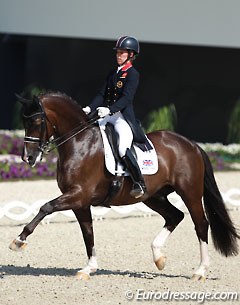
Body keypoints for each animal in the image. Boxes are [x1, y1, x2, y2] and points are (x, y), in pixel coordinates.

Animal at [9, 92, 240, 280]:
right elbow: (87, 232)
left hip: (190, 193)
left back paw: (200, 271)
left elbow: (45, 207)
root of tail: (191, 144)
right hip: (154, 197)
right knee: (175, 216)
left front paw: (19, 241)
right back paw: (159, 257)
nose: (28, 158)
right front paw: (89, 268)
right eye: (23, 121)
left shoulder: (78, 195)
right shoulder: (80, 202)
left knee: (200, 224)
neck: (80, 143)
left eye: (37, 121)